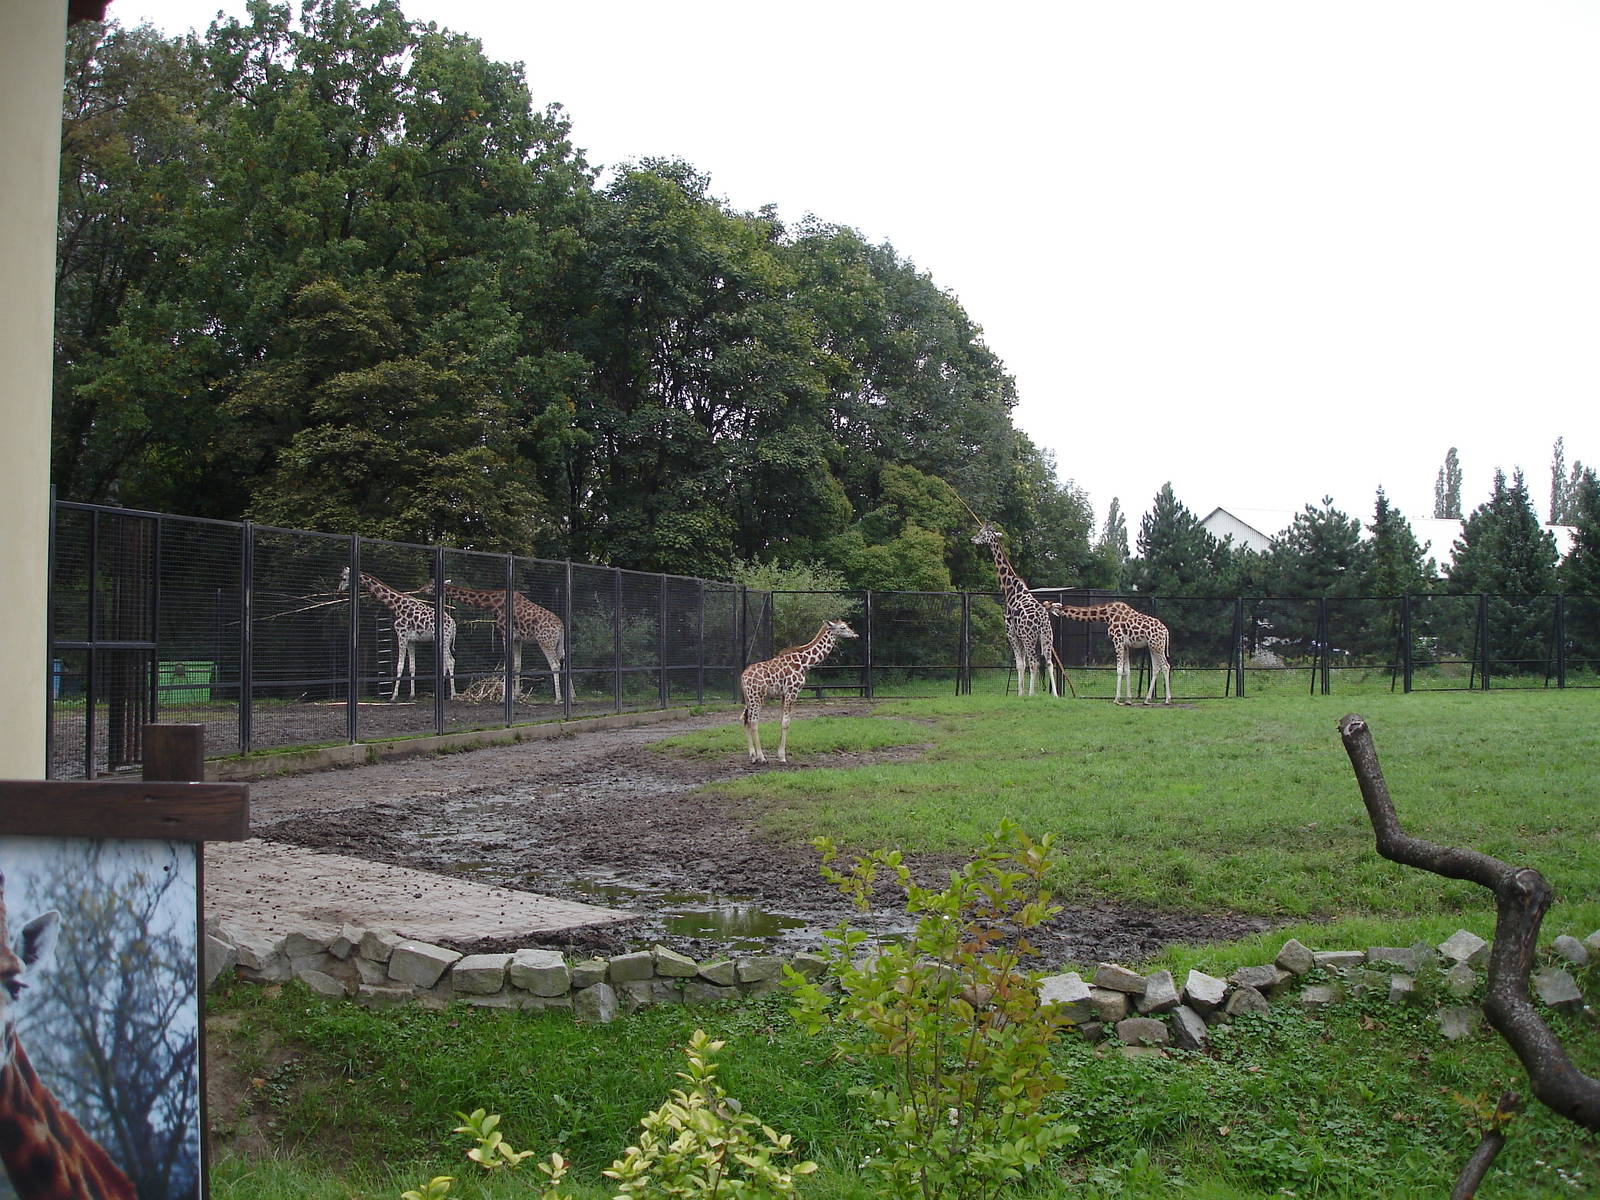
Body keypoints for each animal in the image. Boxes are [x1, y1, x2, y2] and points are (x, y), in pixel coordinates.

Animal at [338, 567, 457, 702]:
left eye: (343, 578)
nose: (339, 592)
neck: (397, 606)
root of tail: (453, 624)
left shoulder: (401, 635)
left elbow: (399, 666)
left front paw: (393, 696)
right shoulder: (411, 640)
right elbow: (412, 666)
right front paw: (411, 695)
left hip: (444, 639)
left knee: (450, 661)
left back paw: (453, 695)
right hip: (444, 640)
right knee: (447, 662)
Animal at [417, 580, 566, 701]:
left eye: (430, 585)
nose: (420, 589)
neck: (494, 604)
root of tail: (561, 627)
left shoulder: (505, 633)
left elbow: (507, 665)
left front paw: (505, 697)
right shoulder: (518, 639)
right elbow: (517, 665)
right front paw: (516, 695)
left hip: (545, 641)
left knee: (555, 664)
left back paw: (558, 698)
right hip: (557, 643)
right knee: (561, 661)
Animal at [739, 619, 859, 764]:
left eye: (846, 626)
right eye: (842, 627)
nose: (855, 635)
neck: (804, 663)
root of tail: (743, 677)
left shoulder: (784, 694)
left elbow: (782, 721)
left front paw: (779, 754)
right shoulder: (792, 690)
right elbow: (786, 722)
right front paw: (782, 757)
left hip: (748, 698)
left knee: (745, 719)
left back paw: (752, 756)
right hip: (757, 696)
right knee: (753, 721)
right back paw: (761, 757)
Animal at [971, 522, 1058, 697]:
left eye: (981, 533)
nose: (972, 539)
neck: (1010, 589)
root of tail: (1042, 620)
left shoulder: (1011, 632)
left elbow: (1020, 664)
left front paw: (1021, 694)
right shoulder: (1019, 635)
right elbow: (1022, 664)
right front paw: (1021, 692)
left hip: (1030, 637)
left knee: (1035, 662)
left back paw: (1032, 694)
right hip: (1047, 636)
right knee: (1049, 662)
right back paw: (1056, 695)